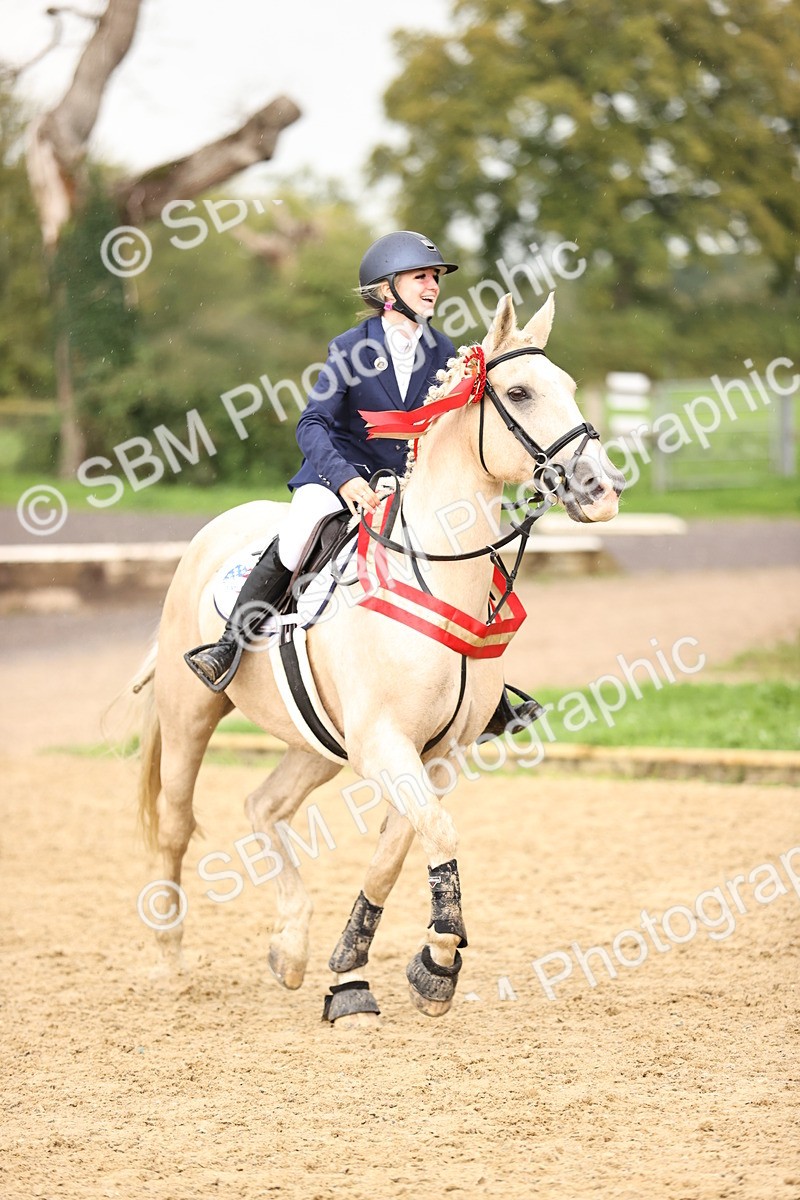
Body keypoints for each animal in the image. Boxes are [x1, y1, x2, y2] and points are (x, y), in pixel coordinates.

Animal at [134, 292, 625, 1027]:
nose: (602, 489)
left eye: (568, 387)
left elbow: (394, 855)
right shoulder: (385, 745)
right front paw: (435, 964)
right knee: (174, 824)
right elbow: (439, 836)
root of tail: (213, 530)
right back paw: (169, 960)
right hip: (191, 711)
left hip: (316, 742)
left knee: (264, 806)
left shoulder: (433, 755)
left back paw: (290, 949)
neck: (438, 574)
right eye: (518, 392)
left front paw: (367, 971)